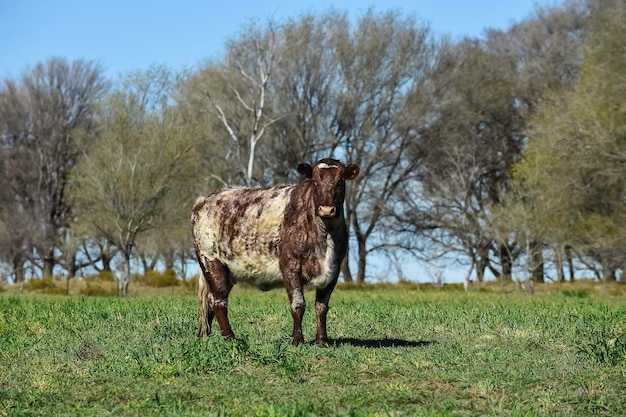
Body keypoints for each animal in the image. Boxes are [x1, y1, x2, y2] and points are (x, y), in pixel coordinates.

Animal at [188, 158, 358, 346]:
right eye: (314, 180)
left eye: (340, 181)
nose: (327, 210)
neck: (325, 238)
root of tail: (204, 200)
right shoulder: (290, 266)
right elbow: (298, 304)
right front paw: (297, 340)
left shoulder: (334, 270)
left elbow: (321, 307)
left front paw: (322, 341)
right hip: (212, 262)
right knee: (219, 301)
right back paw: (230, 338)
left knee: (210, 301)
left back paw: (206, 336)